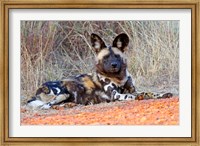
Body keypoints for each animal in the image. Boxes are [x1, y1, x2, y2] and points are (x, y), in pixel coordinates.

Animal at [27, 32, 173, 108]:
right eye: (106, 58)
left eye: (117, 56)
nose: (114, 65)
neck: (119, 78)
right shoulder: (115, 95)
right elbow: (131, 96)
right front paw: (139, 98)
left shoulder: (133, 89)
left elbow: (149, 92)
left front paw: (162, 94)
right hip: (62, 93)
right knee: (46, 105)